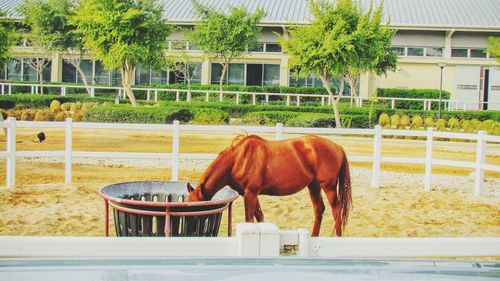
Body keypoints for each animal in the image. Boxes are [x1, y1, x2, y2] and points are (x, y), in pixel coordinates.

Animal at [186, 135, 354, 235]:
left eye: (198, 210)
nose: (192, 232)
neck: (238, 159)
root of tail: (337, 147)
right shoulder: (250, 194)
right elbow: (260, 216)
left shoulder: (250, 194)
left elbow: (249, 219)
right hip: (313, 186)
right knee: (319, 209)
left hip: (329, 187)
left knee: (336, 211)